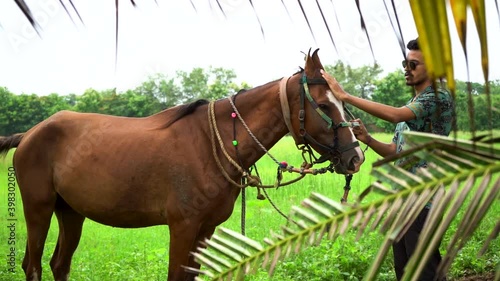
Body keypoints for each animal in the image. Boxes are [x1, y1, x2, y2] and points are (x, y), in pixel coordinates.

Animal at [0, 49, 364, 278]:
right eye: (323, 105)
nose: (355, 157)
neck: (212, 144)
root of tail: (30, 134)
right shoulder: (183, 226)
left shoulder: (205, 230)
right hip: (38, 209)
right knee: (32, 266)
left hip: (71, 212)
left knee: (59, 265)